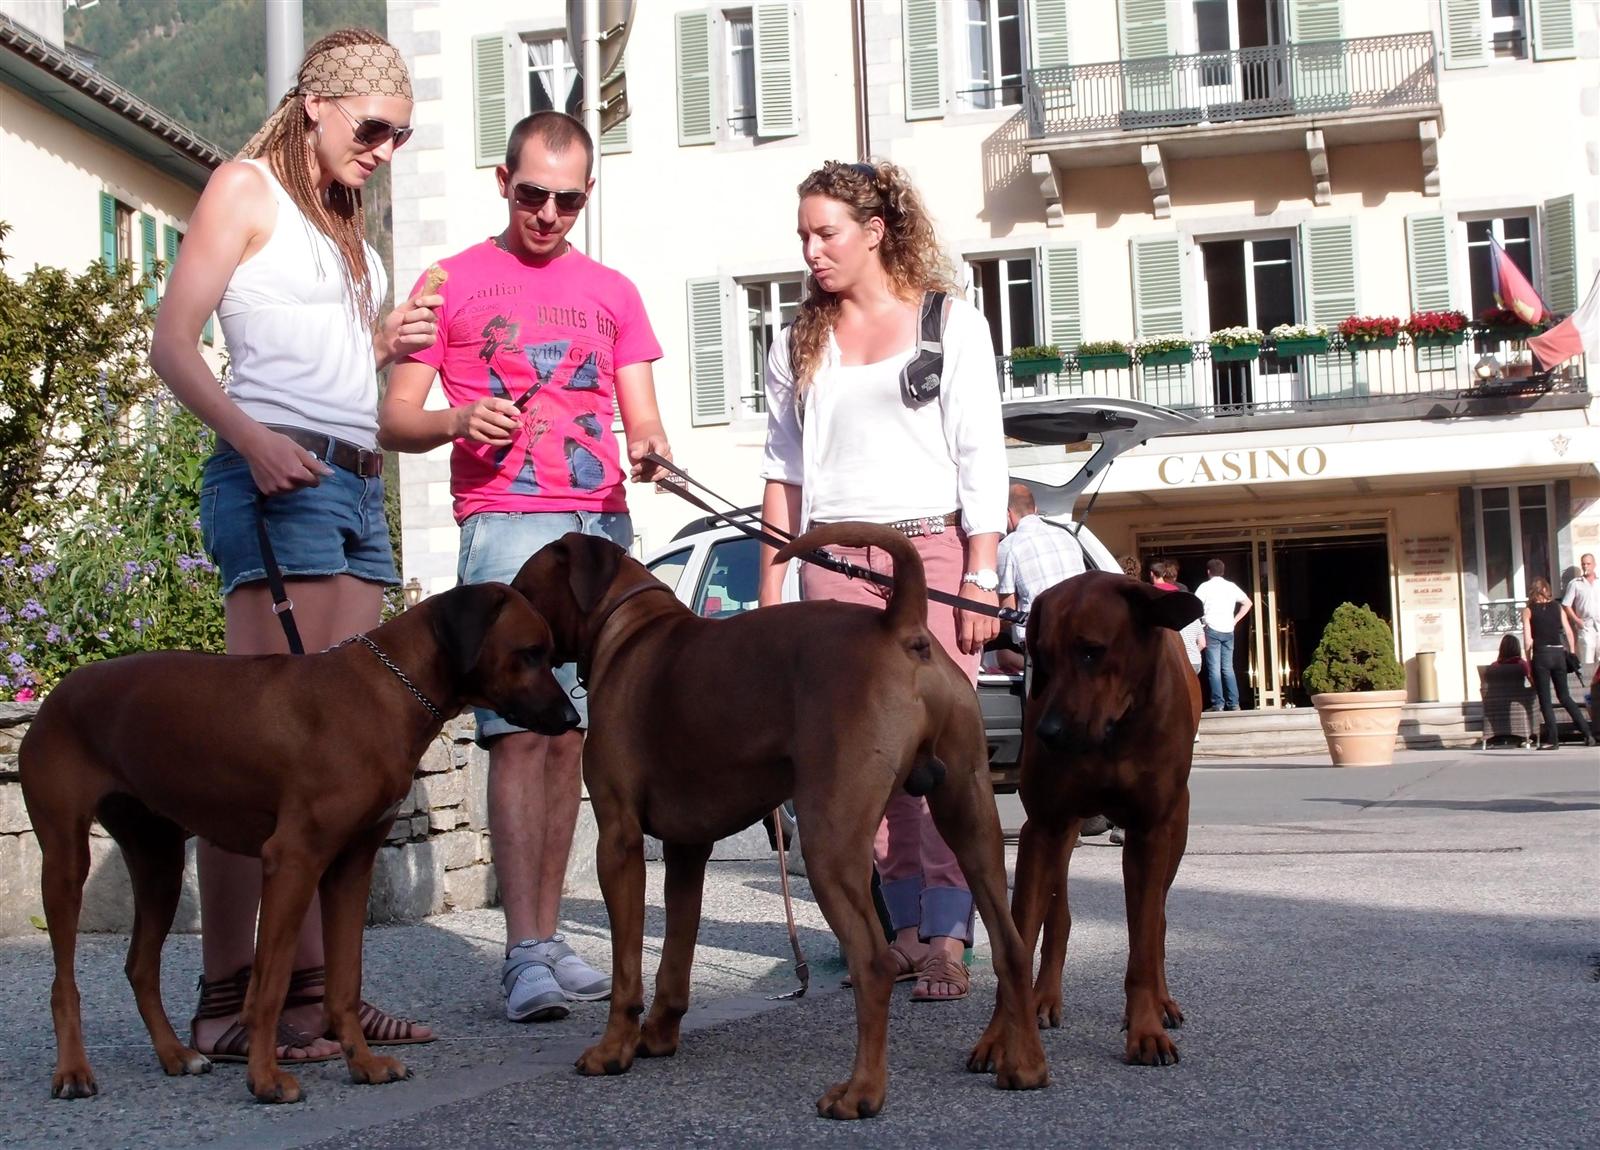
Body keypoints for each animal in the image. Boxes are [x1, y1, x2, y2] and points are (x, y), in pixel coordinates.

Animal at [20, 582, 579, 1103]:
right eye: (530, 652)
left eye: (551, 654)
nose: (573, 720)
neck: (388, 693)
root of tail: (60, 690)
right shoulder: (292, 860)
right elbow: (267, 986)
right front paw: (265, 1079)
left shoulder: (350, 866)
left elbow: (345, 982)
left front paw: (363, 1064)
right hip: (67, 859)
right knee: (63, 983)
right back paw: (73, 1071)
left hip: (159, 861)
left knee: (139, 965)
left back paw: (176, 1054)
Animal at [511, 525, 1048, 1119]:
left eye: (523, 593)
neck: (628, 628)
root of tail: (899, 623)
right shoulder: (686, 849)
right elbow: (676, 952)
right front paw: (658, 1036)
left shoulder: (619, 841)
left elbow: (627, 968)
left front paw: (613, 1051)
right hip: (970, 819)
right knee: (1011, 945)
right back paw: (1025, 1065)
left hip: (829, 839)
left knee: (875, 964)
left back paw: (862, 1091)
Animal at [969, 571, 1203, 1070]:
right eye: (1043, 656)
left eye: (1092, 651)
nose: (1048, 733)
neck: (1113, 734)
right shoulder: (1044, 826)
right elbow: (1019, 941)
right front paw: (1000, 1037)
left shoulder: (1149, 831)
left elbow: (1143, 943)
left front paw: (1146, 1029)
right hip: (1061, 833)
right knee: (1058, 916)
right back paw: (1043, 999)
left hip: (1175, 831)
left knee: (1158, 922)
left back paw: (1162, 1001)